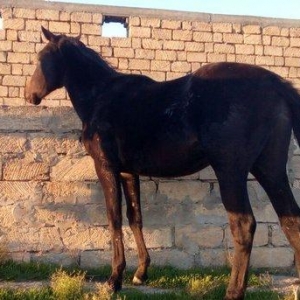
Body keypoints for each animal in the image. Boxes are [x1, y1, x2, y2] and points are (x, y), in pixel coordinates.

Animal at [24, 26, 300, 300]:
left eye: (40, 58)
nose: (29, 95)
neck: (101, 96)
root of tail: (277, 85)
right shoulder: (128, 172)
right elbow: (135, 217)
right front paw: (140, 272)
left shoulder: (106, 168)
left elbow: (114, 218)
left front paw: (114, 280)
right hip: (270, 170)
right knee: (291, 220)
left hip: (231, 171)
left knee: (243, 225)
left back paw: (233, 292)